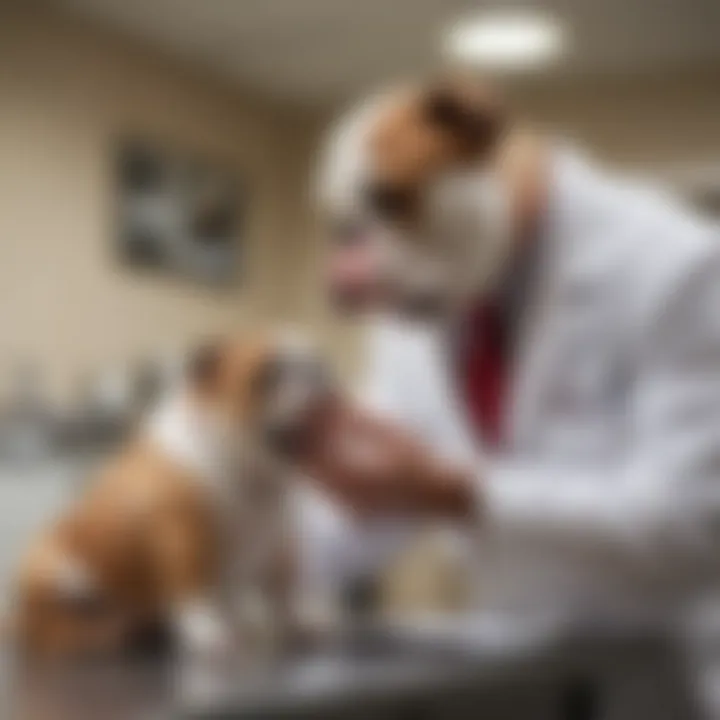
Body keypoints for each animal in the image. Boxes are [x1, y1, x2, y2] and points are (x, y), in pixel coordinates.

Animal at [12, 332, 328, 660]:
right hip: (52, 568)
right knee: (58, 627)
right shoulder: (182, 537)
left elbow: (285, 590)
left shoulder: (278, 540)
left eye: (316, 364)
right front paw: (211, 633)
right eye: (269, 374)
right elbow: (192, 589)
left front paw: (302, 619)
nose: (321, 377)